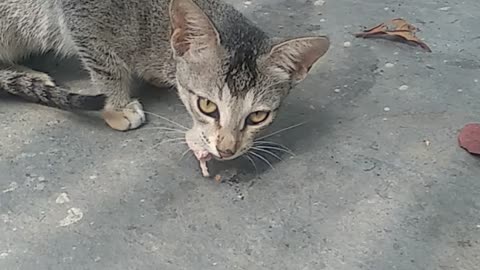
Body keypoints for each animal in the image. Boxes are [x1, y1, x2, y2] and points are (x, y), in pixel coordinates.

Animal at [0, 0, 328, 175]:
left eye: (258, 116)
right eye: (207, 106)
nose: (226, 150)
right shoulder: (83, 14)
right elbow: (106, 63)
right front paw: (117, 105)